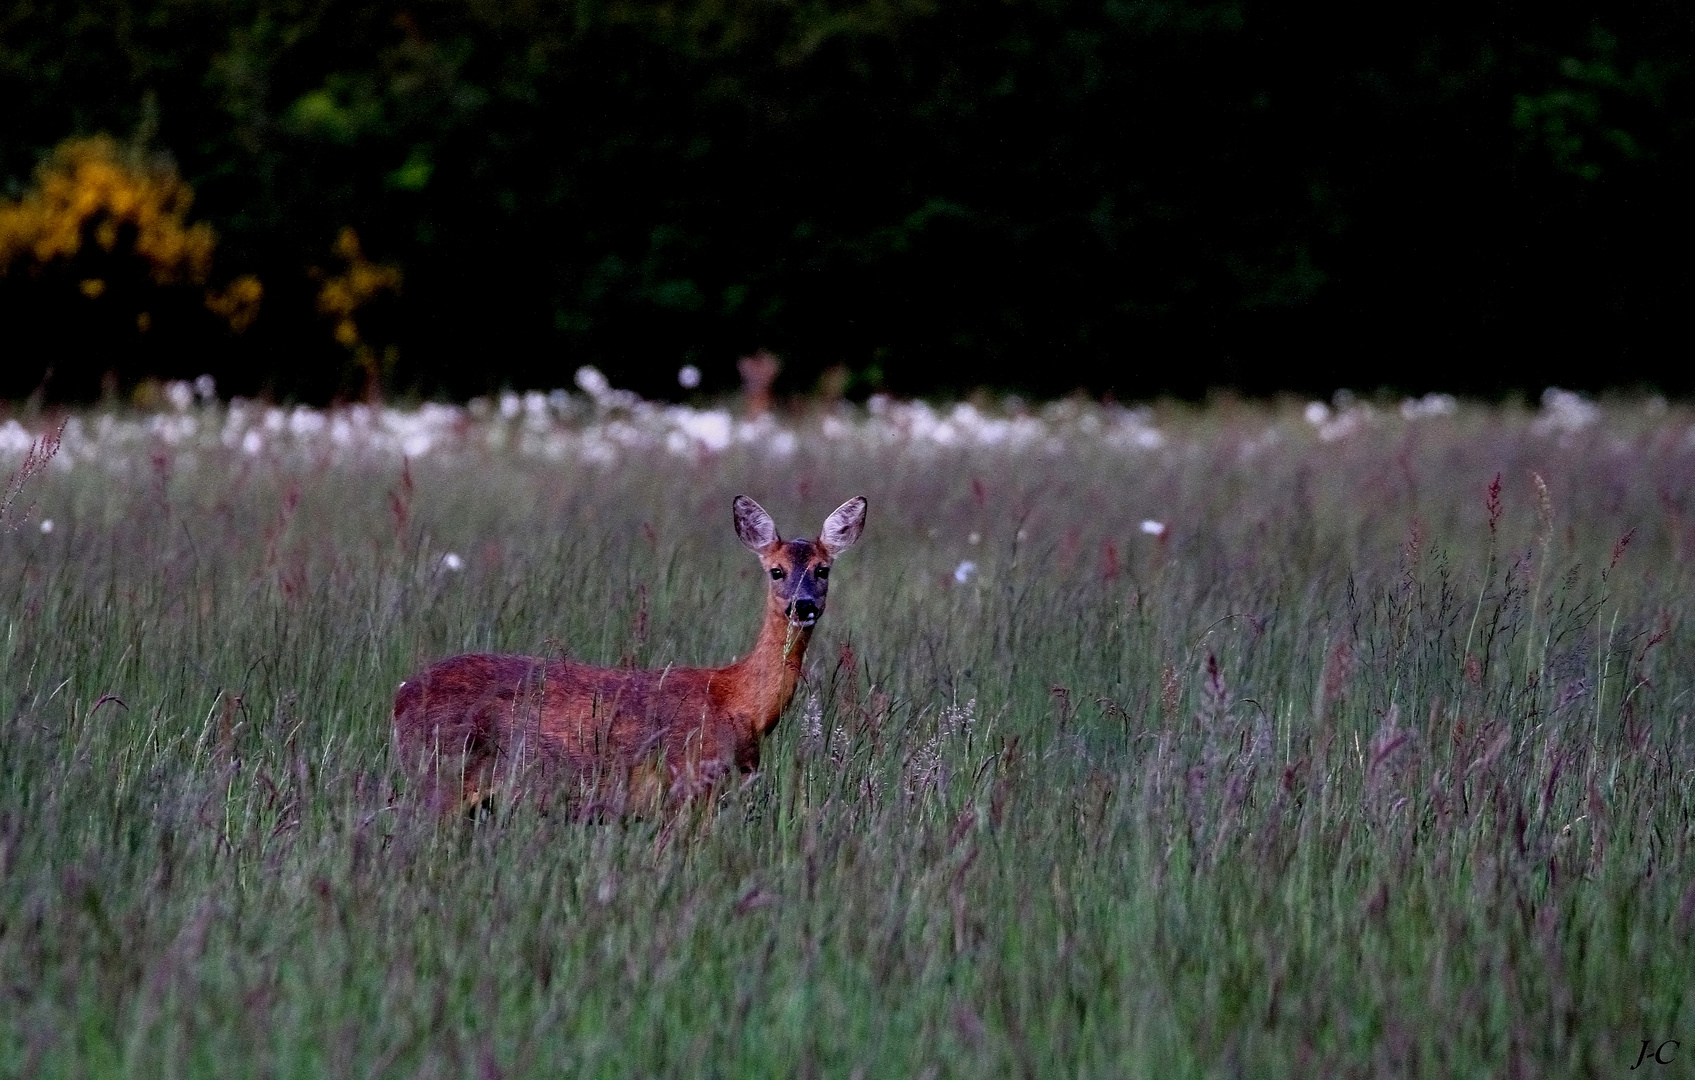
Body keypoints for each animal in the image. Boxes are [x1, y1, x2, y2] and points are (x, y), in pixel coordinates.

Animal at [391, 491, 867, 813]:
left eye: (823, 570)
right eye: (777, 571)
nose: (803, 606)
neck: (740, 702)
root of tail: (399, 696)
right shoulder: (687, 784)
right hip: (441, 777)